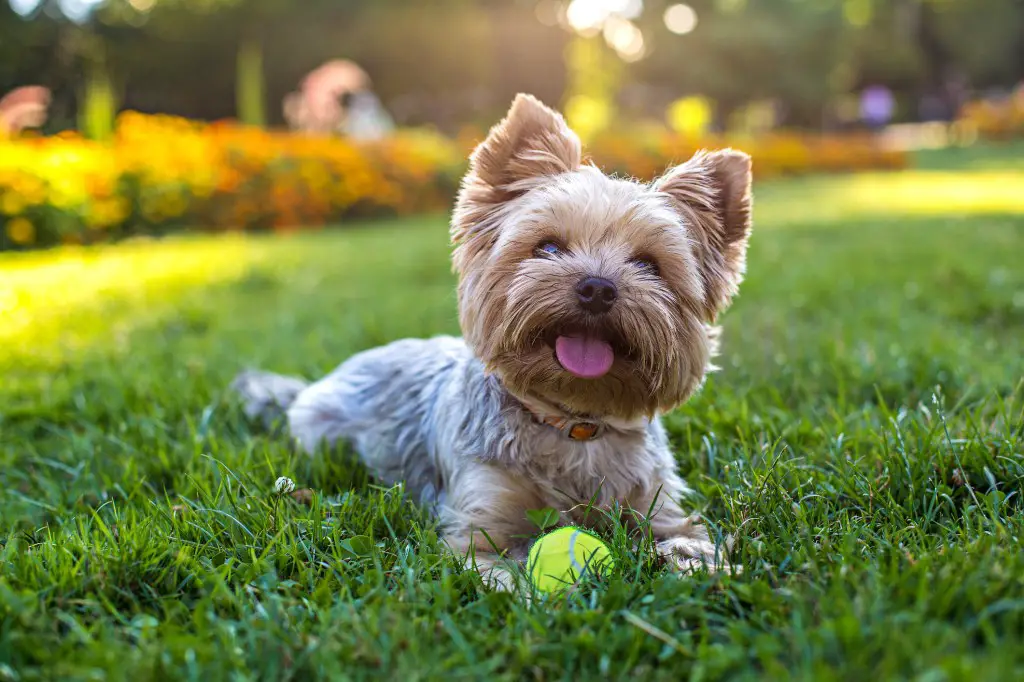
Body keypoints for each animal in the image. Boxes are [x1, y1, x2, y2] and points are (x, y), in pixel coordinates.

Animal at [234, 93, 753, 585]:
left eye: (648, 264)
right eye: (548, 247)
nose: (598, 287)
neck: (573, 423)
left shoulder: (658, 504)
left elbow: (687, 538)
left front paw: (701, 569)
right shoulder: (479, 525)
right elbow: (502, 572)